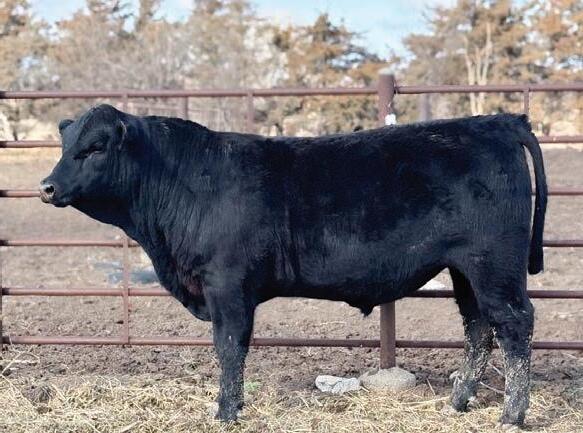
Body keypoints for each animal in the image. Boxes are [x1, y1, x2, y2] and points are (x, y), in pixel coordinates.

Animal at [40, 104, 547, 427]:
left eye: (96, 146)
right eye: (66, 145)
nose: (46, 186)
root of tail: (497, 122)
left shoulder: (227, 284)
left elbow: (229, 347)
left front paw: (226, 412)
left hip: (493, 266)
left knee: (514, 325)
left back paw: (512, 415)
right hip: (466, 272)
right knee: (478, 329)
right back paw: (458, 403)